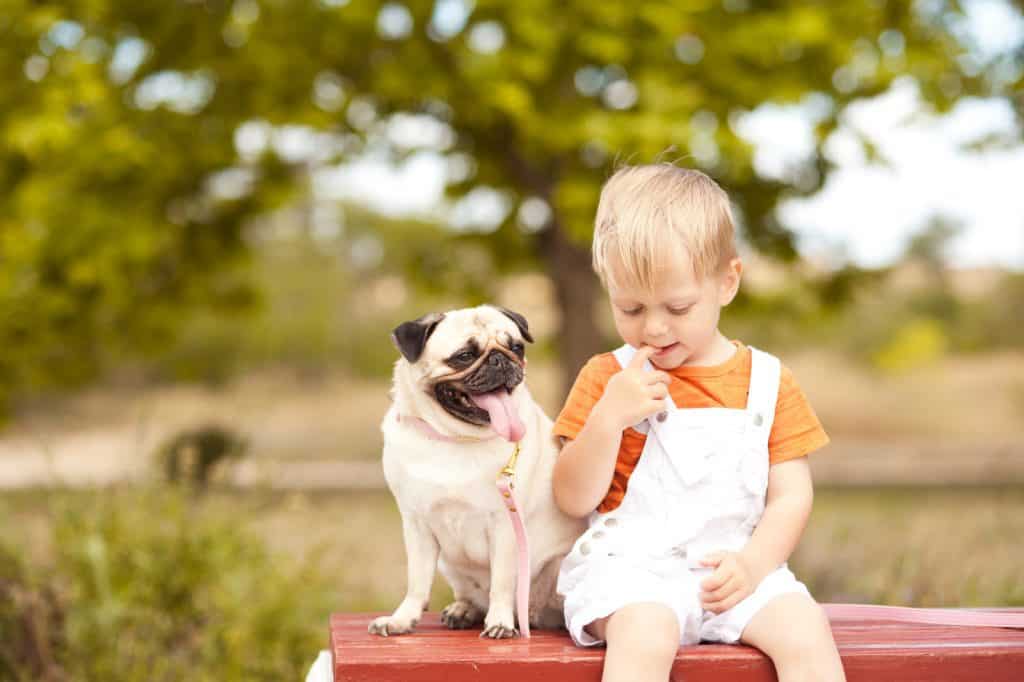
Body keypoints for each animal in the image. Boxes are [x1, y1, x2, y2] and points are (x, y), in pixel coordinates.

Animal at [370, 305, 585, 634]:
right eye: (464, 356)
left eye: (516, 347)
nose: (501, 359)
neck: (455, 439)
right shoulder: (416, 524)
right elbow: (417, 582)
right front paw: (402, 619)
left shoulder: (505, 525)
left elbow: (502, 582)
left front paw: (500, 623)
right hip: (449, 564)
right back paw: (464, 609)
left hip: (556, 567)